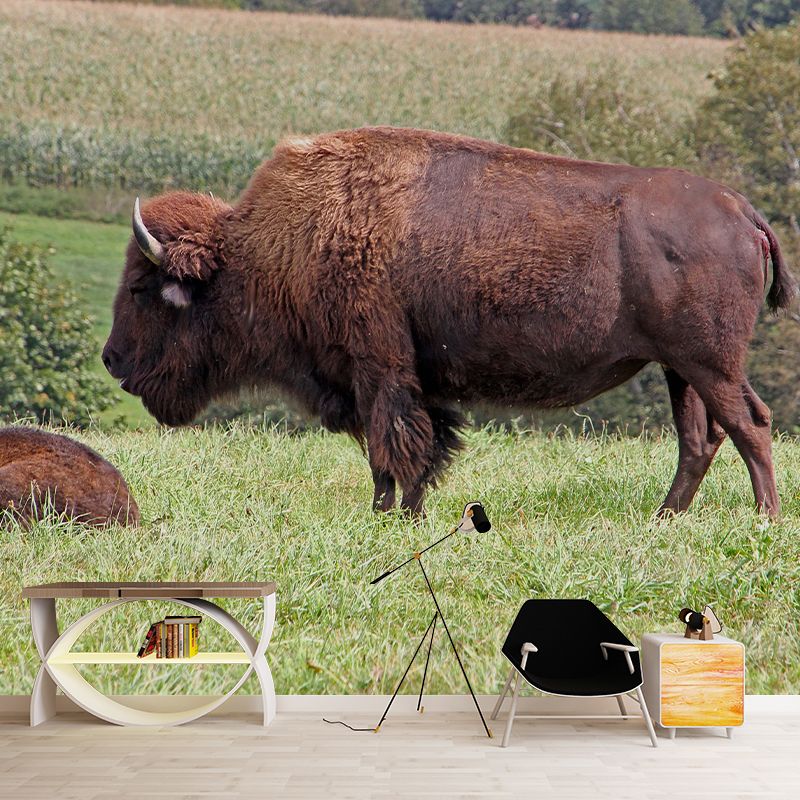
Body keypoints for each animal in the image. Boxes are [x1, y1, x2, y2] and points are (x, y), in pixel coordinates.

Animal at [103, 127, 795, 517]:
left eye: (141, 288)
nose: (111, 359)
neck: (281, 242)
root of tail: (743, 210)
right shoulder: (409, 381)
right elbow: (424, 444)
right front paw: (402, 513)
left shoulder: (378, 368)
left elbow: (393, 445)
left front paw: (386, 517)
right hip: (683, 369)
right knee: (702, 438)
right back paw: (663, 520)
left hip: (709, 362)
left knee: (750, 424)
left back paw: (764, 520)